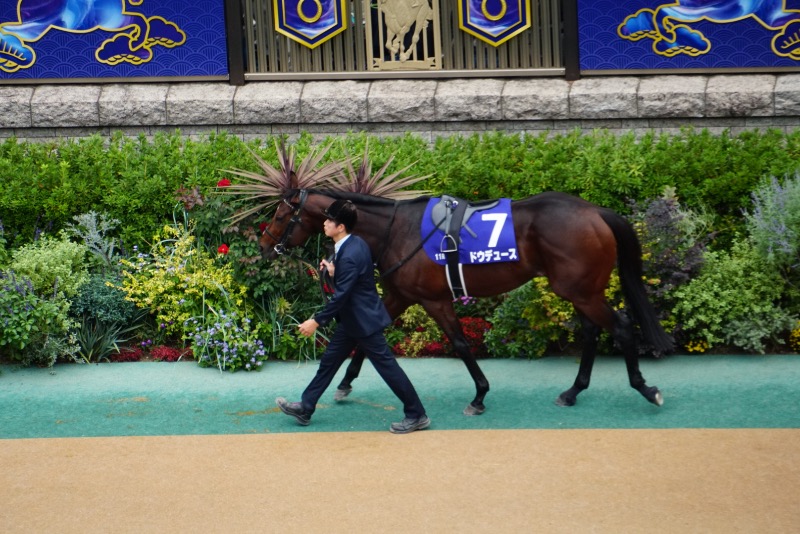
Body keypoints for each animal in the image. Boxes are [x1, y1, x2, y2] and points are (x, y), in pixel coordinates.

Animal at [260, 191, 672, 416]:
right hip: (578, 291)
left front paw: (479, 395)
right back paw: (572, 392)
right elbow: (365, 337)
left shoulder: (434, 299)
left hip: (582, 291)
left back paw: (646, 388)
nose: (264, 244)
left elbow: (459, 344)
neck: (397, 230)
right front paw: (344, 383)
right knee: (591, 332)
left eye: (280, 213)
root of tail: (595, 212)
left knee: (621, 327)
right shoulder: (401, 295)